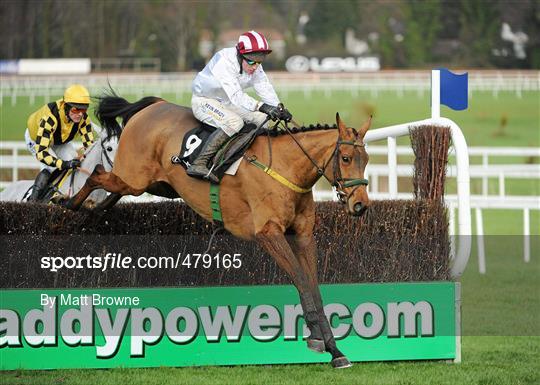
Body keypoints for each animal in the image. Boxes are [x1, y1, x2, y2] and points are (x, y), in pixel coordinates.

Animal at [66, 95, 372, 366]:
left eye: (366, 159)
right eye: (346, 158)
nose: (360, 205)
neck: (286, 168)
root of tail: (154, 105)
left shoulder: (303, 235)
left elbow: (313, 286)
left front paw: (334, 349)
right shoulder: (268, 233)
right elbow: (301, 281)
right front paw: (319, 340)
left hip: (155, 185)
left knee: (109, 187)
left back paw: (94, 208)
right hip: (134, 178)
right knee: (96, 173)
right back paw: (70, 203)